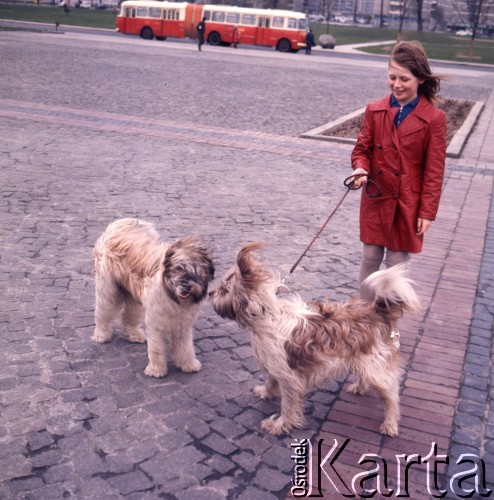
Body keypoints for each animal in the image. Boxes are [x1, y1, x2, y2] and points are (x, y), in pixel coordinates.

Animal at [92, 217, 214, 376]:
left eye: (199, 272)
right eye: (179, 268)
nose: (187, 286)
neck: (172, 295)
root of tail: (119, 224)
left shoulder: (183, 323)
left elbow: (185, 346)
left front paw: (188, 364)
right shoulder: (156, 320)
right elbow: (156, 348)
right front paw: (156, 370)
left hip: (132, 294)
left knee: (129, 315)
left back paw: (135, 335)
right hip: (108, 288)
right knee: (103, 310)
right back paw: (101, 335)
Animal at [208, 244, 420, 436]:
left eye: (225, 288)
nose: (210, 293)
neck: (265, 315)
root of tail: (376, 311)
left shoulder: (289, 377)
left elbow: (288, 405)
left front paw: (280, 425)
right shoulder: (276, 365)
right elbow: (270, 380)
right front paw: (266, 392)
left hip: (376, 366)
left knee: (391, 396)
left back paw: (390, 424)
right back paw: (360, 387)